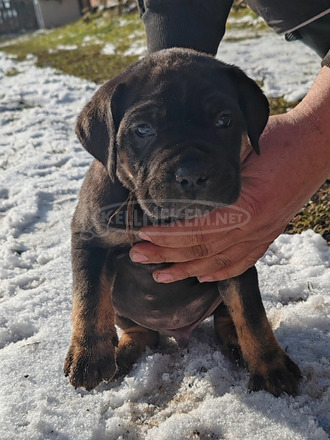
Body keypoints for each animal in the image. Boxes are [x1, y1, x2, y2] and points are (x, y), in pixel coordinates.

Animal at [62, 48, 302, 396]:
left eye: (224, 121)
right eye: (143, 129)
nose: (192, 174)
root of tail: (181, 332)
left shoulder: (233, 255)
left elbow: (250, 312)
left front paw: (271, 367)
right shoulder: (88, 240)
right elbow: (89, 297)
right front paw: (88, 356)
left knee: (226, 319)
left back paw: (237, 346)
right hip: (123, 309)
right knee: (142, 332)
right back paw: (123, 352)